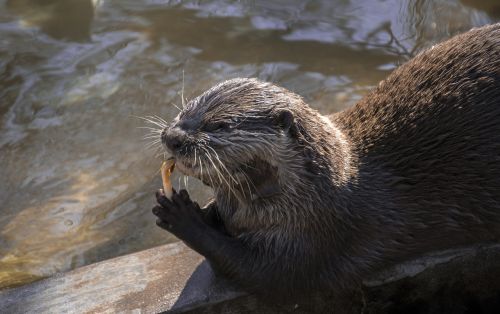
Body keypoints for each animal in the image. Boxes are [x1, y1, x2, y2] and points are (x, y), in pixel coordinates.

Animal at [151, 23, 500, 298]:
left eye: (220, 125)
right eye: (185, 111)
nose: (172, 136)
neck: (317, 190)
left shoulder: (318, 234)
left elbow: (262, 274)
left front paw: (181, 215)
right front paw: (197, 208)